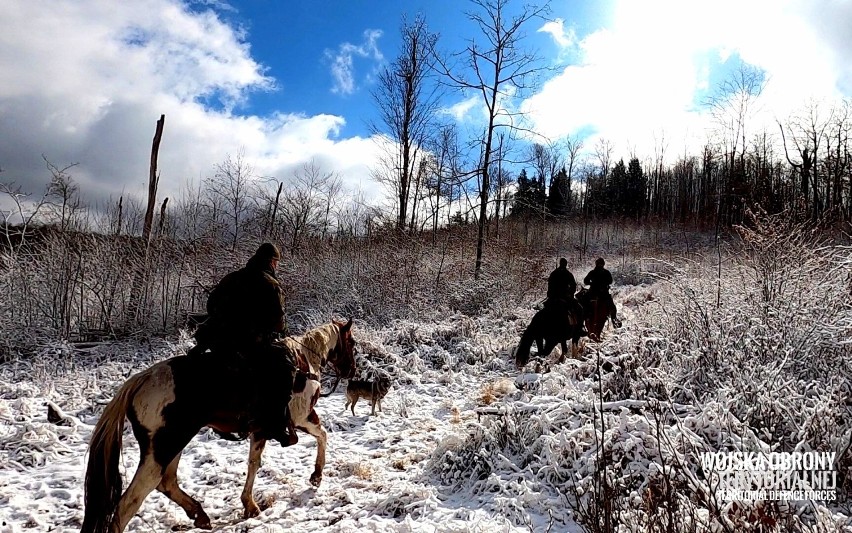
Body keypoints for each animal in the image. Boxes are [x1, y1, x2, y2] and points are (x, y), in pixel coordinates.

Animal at [80, 318, 356, 532]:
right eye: (351, 343)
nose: (351, 370)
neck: (303, 362)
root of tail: (141, 380)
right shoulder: (301, 418)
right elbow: (322, 435)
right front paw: (316, 476)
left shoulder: (261, 430)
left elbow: (253, 463)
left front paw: (249, 505)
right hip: (163, 448)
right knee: (129, 503)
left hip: (173, 444)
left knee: (167, 482)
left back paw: (200, 515)